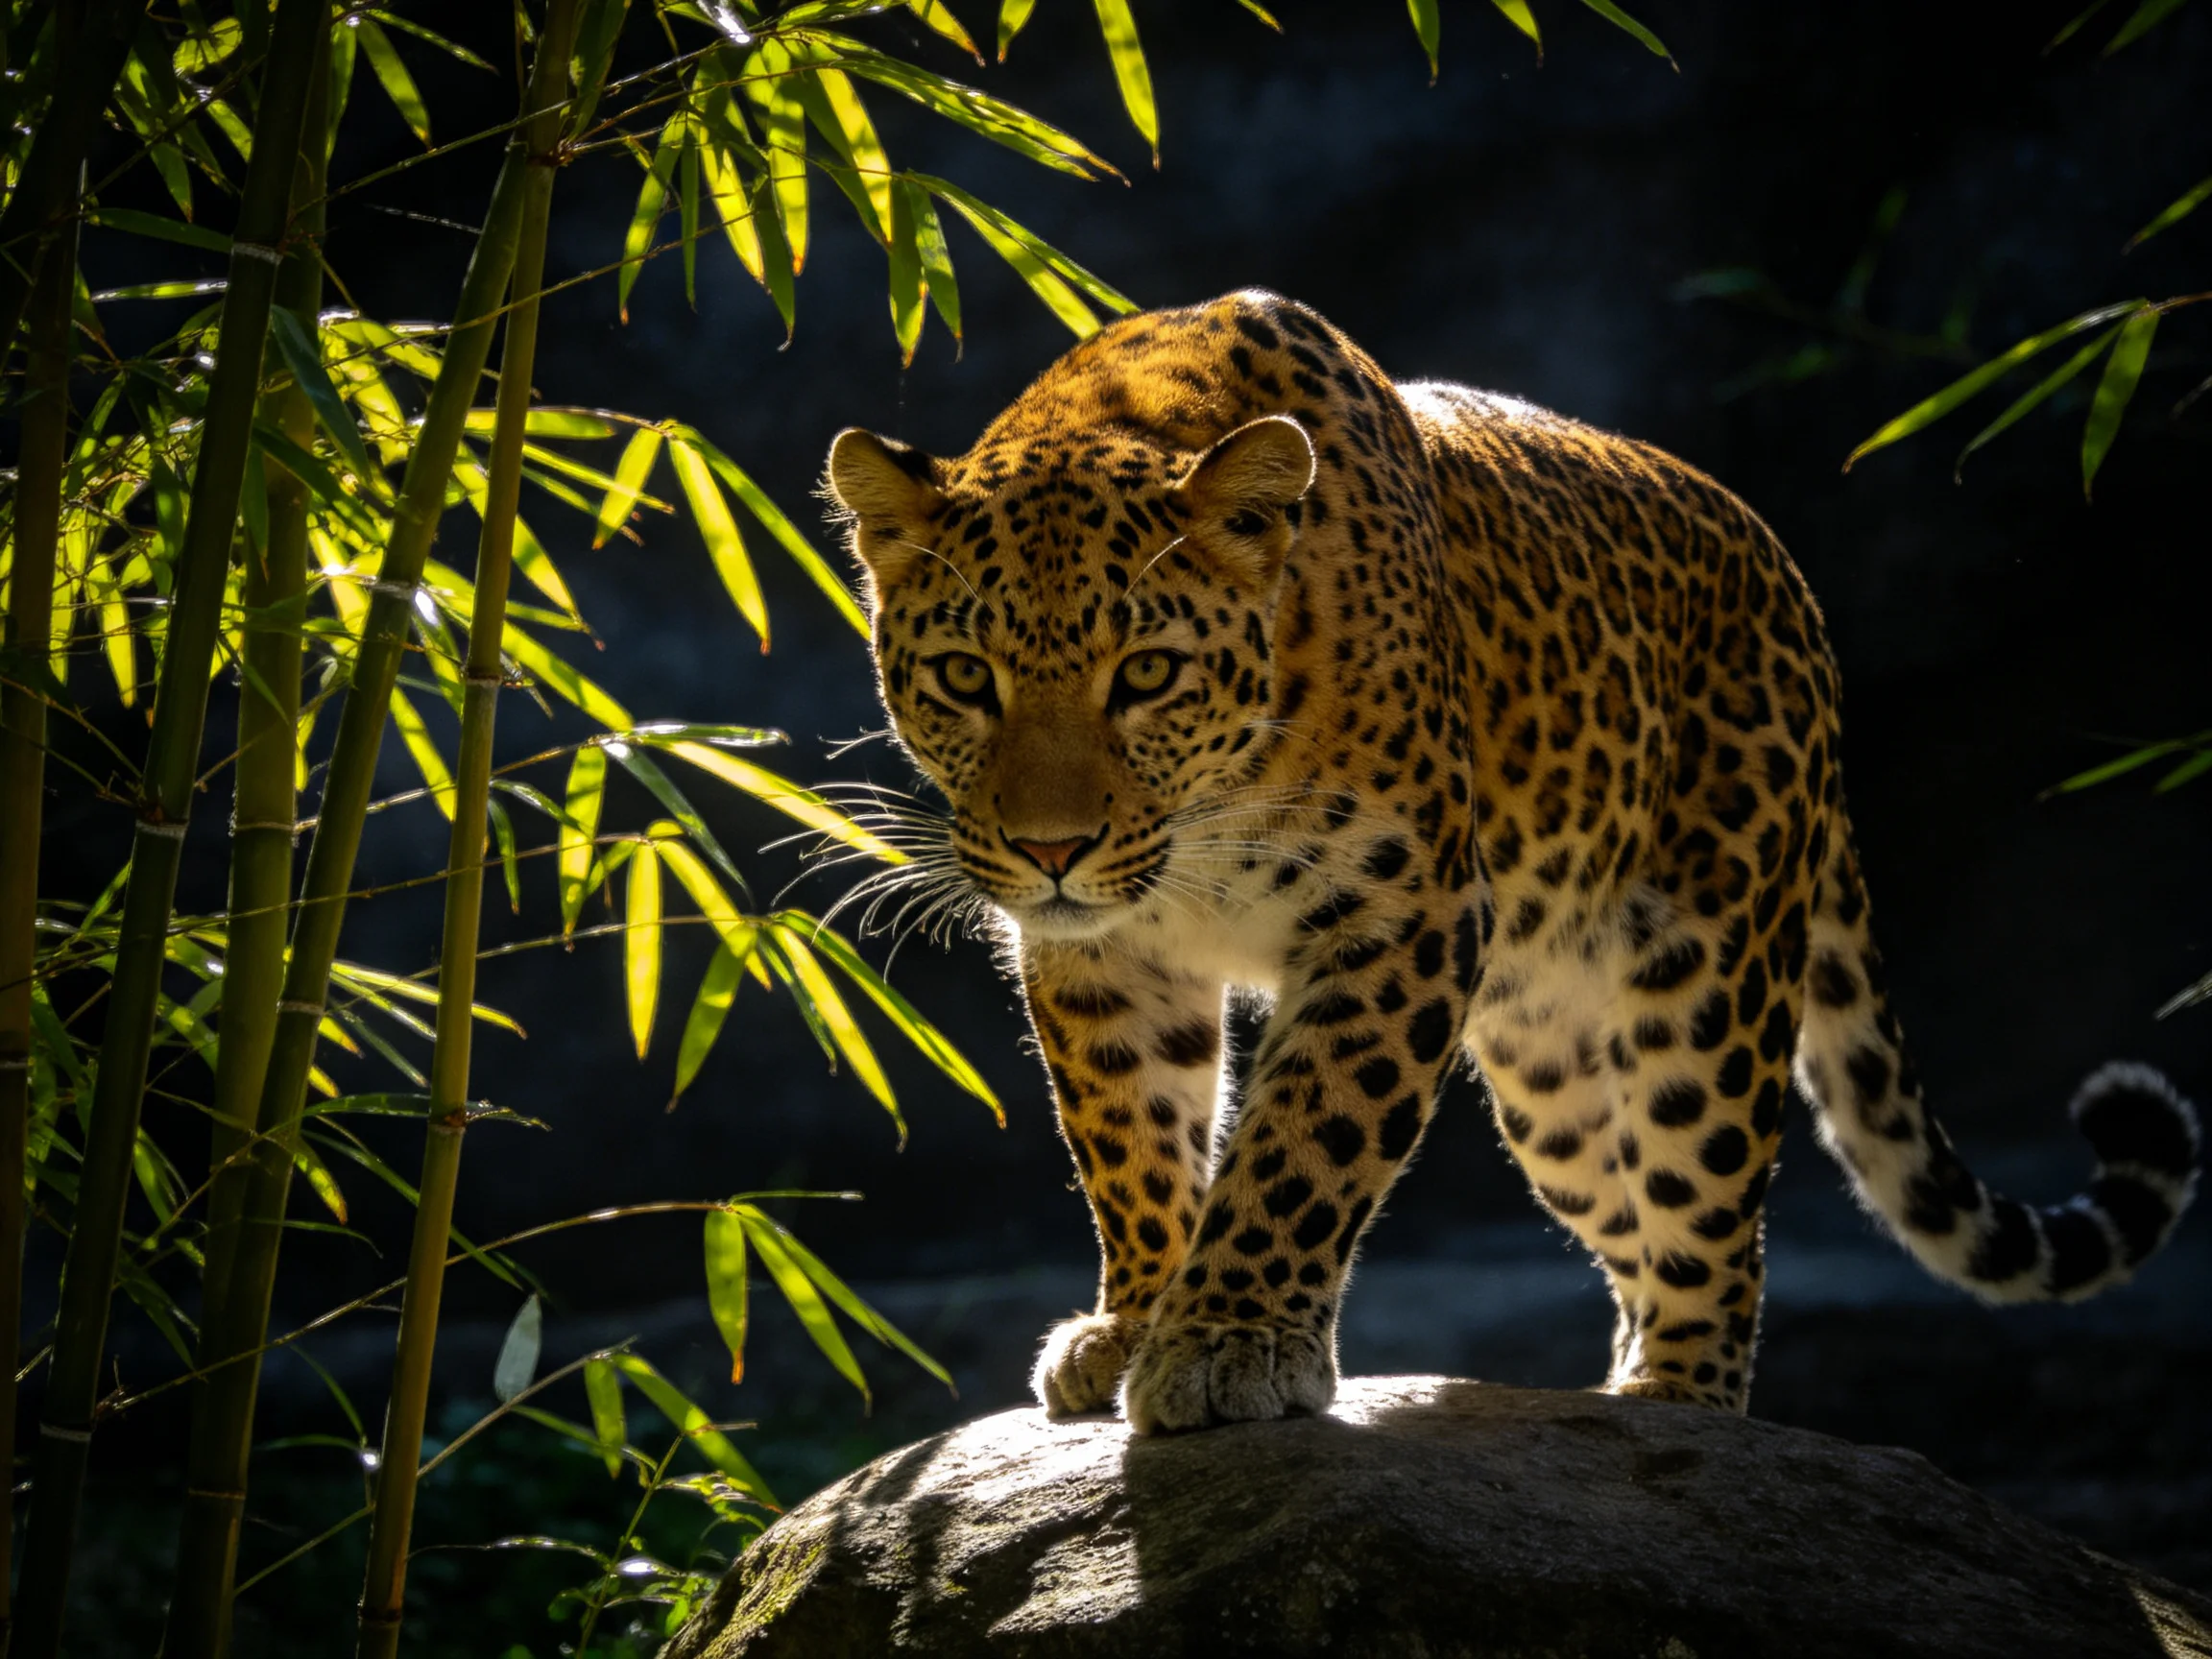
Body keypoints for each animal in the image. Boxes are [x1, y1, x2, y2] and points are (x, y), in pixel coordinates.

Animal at [823, 289, 2200, 1433]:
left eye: (1147, 674)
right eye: (966, 676)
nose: (1052, 848)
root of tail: (1789, 589)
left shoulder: (1399, 912)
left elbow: (1305, 1141)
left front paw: (1226, 1343)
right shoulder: (1101, 954)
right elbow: (1129, 1136)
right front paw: (1135, 1319)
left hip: (1706, 978)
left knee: (1710, 1213)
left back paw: (1678, 1406)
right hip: (1552, 1080)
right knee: (1627, 1217)